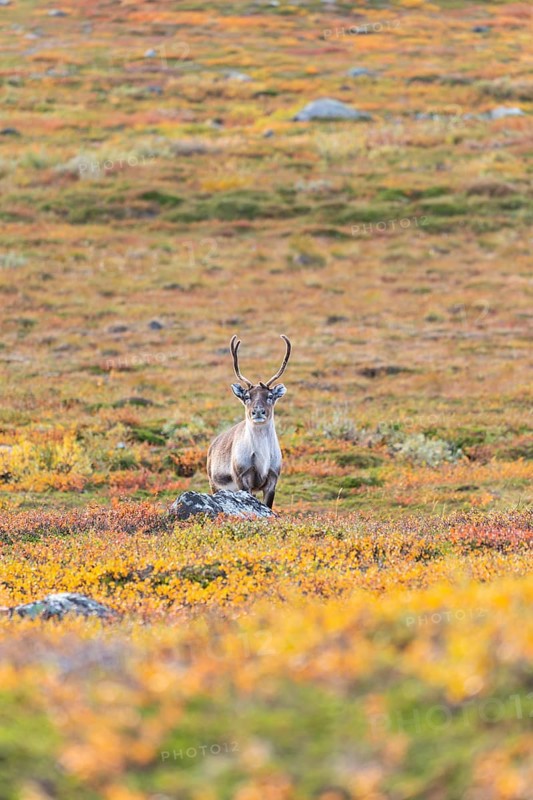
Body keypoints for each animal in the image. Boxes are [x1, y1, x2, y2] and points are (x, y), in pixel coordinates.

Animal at [207, 334, 292, 509]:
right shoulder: (243, 479)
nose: (258, 411)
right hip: (214, 484)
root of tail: (212, 446)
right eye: (247, 396)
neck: (262, 458)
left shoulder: (272, 479)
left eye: (270, 396)